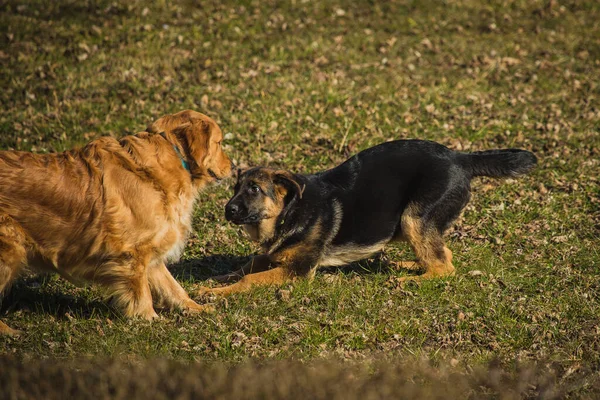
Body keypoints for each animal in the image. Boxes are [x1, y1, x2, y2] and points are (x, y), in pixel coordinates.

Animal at [197, 139, 536, 296]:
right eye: (236, 188)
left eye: (254, 189)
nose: (228, 209)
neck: (290, 213)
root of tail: (460, 157)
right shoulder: (272, 256)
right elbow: (245, 266)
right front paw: (212, 283)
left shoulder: (297, 271)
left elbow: (249, 279)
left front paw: (217, 294)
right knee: (442, 254)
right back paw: (407, 265)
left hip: (413, 219)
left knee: (444, 268)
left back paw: (408, 280)